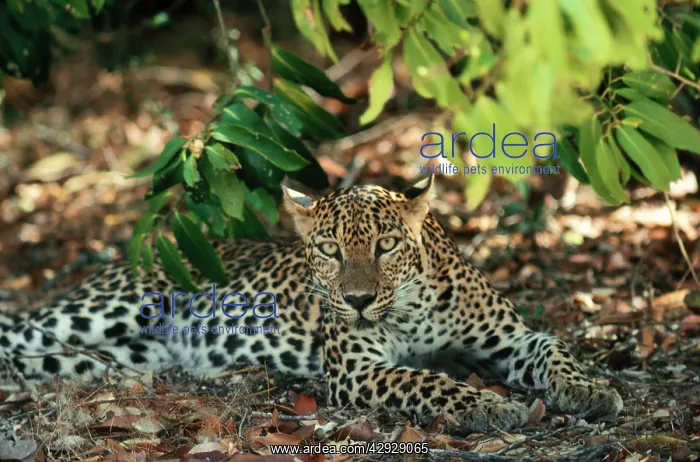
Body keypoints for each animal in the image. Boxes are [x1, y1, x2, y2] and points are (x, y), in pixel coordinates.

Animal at [0, 175, 622, 432]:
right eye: (328, 249)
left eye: (386, 244)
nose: (359, 300)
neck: (413, 304)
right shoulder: (357, 369)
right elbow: (426, 379)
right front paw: (486, 407)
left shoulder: (509, 338)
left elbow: (554, 347)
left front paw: (589, 391)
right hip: (105, 310)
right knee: (18, 331)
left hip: (107, 355)